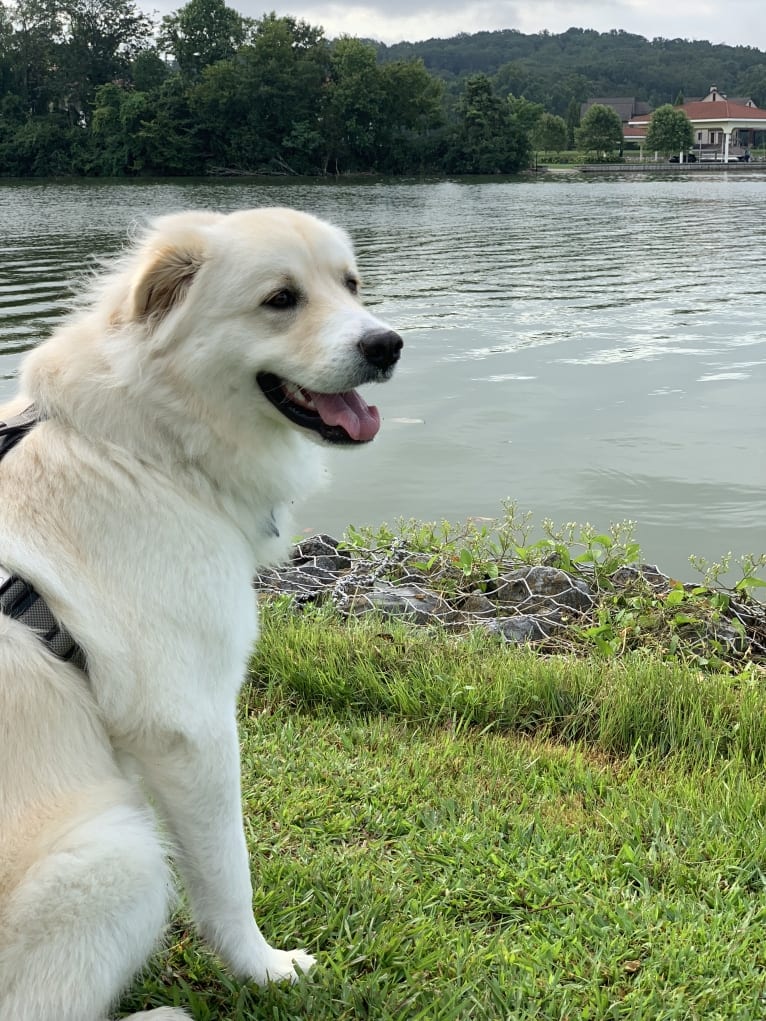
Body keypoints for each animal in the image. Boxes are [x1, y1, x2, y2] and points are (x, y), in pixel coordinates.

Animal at [0, 207, 404, 1021]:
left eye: (350, 285)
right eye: (280, 299)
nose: (387, 345)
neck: (146, 441)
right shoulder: (191, 728)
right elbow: (227, 876)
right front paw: (266, 969)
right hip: (120, 853)